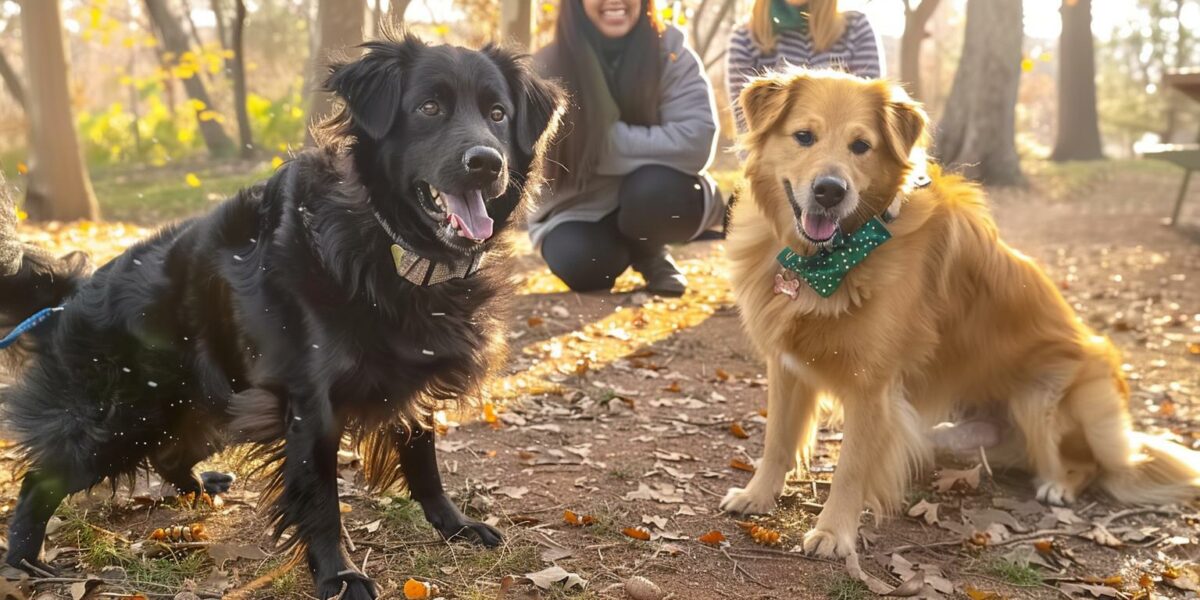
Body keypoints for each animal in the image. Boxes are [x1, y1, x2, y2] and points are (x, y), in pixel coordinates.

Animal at [1, 34, 561, 600]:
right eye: (429, 108)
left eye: (497, 114)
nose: (487, 163)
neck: (389, 248)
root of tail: (72, 296)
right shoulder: (309, 405)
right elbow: (321, 500)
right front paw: (338, 574)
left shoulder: (409, 386)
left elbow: (425, 464)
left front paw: (454, 525)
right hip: (120, 423)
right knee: (40, 480)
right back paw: (25, 560)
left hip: (205, 407)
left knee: (169, 455)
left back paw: (202, 488)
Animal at [720, 69, 1200, 556]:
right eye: (804, 136)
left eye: (861, 145)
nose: (830, 191)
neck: (828, 260)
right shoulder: (786, 365)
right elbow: (777, 440)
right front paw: (758, 495)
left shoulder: (872, 387)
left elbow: (851, 467)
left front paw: (835, 532)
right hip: (952, 430)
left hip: (1042, 399)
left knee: (1087, 465)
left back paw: (1059, 486)